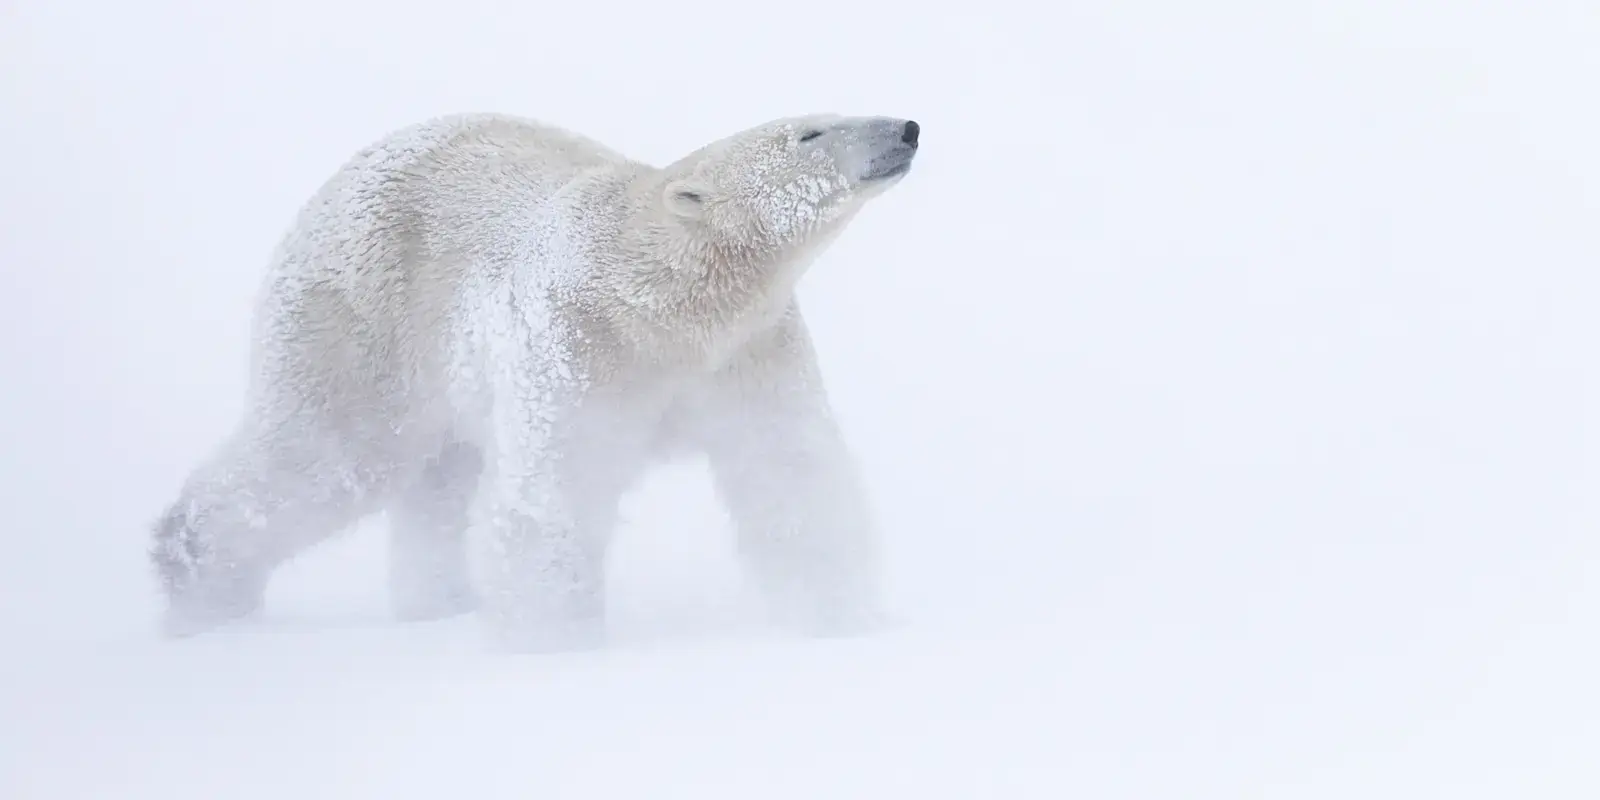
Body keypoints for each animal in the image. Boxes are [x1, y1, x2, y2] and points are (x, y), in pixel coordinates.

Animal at [149, 111, 920, 653]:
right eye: (808, 131)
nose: (906, 128)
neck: (667, 308)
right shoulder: (577, 340)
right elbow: (554, 489)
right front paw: (555, 648)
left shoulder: (747, 352)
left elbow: (789, 469)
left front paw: (844, 618)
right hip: (364, 320)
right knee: (331, 454)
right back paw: (196, 576)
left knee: (436, 481)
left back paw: (440, 601)